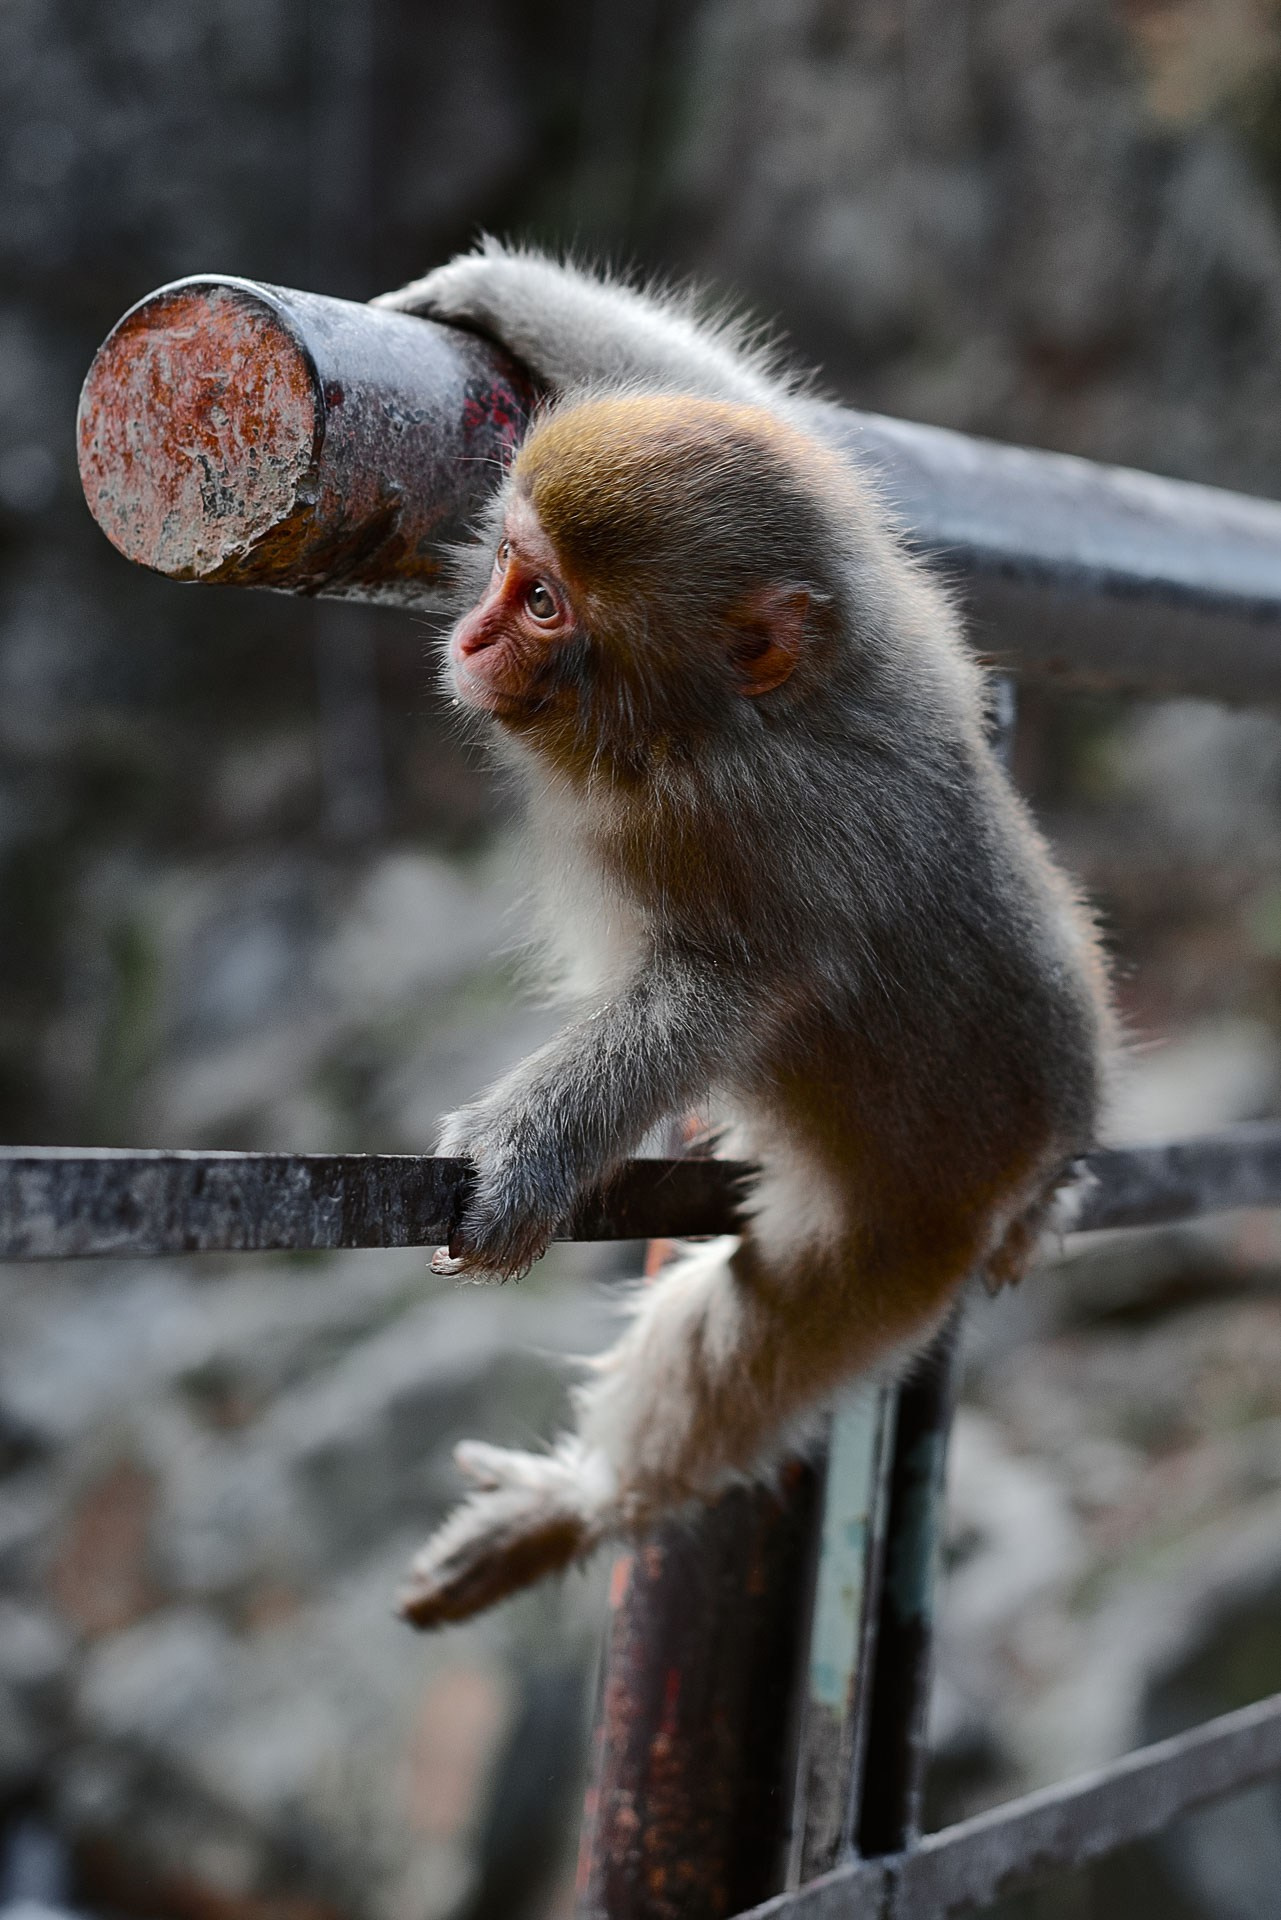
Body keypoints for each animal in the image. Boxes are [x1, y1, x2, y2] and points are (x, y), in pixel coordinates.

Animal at [371, 242, 1115, 1629]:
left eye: (543, 602)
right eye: (506, 564)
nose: (475, 635)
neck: (719, 723)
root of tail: (1045, 1155)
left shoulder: (755, 839)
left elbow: (719, 992)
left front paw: (525, 1152)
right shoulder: (890, 598)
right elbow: (766, 415)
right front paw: (491, 293)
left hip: (905, 1242)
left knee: (767, 1329)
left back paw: (595, 1499)